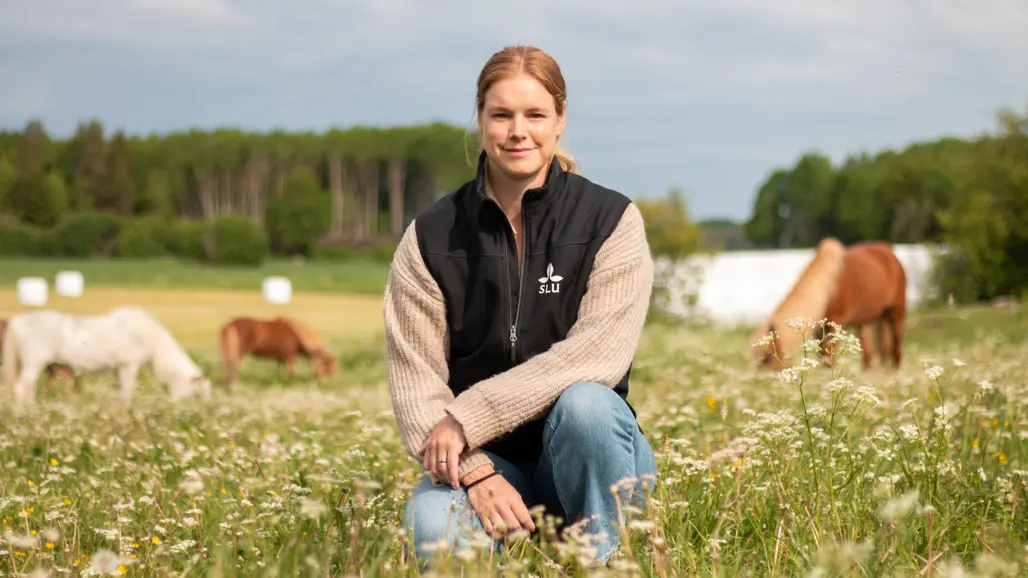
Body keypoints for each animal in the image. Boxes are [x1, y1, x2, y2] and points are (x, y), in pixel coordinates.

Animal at [2, 307, 212, 407]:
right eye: (195, 394)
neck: (150, 336)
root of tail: (17, 321)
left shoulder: (119, 370)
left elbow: (121, 393)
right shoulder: (128, 366)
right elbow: (127, 394)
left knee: (28, 389)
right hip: (33, 363)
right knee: (21, 388)